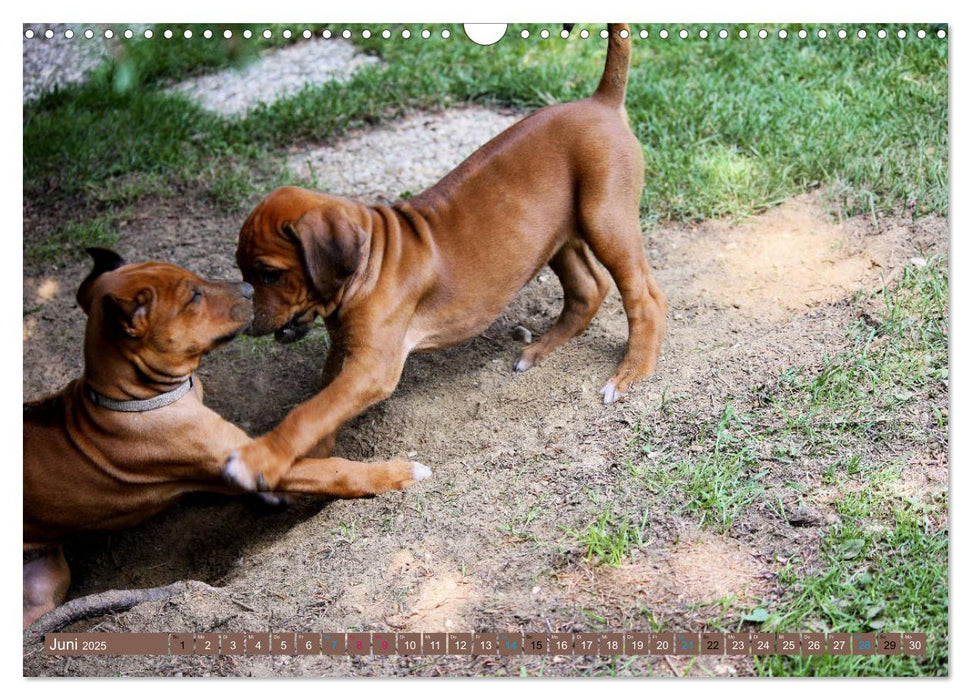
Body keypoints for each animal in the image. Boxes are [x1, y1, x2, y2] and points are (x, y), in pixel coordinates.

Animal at [22, 250, 430, 628]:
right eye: (193, 297)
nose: (249, 289)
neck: (129, 397)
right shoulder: (235, 456)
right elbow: (334, 469)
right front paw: (397, 474)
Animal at [228, 23, 668, 492]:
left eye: (269, 274)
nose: (247, 323)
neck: (371, 262)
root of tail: (600, 101)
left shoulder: (371, 368)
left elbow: (309, 411)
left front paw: (259, 457)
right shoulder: (343, 356)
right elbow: (322, 408)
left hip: (605, 219)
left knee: (644, 297)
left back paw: (632, 373)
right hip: (556, 234)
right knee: (589, 289)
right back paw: (538, 350)